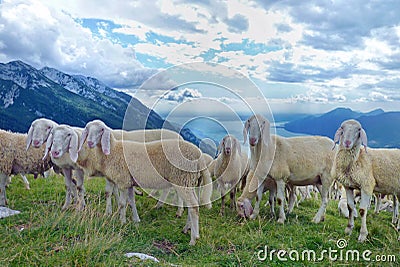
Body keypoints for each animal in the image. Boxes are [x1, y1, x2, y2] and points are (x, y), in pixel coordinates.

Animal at [76, 121, 211, 247]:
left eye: (101, 130)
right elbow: (129, 201)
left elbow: (122, 203)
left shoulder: (122, 180)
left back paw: (193, 239)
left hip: (182, 178)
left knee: (193, 206)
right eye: (88, 129)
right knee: (194, 204)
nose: (89, 143)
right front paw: (134, 220)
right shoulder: (126, 181)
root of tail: (199, 156)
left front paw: (122, 221)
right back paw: (187, 228)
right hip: (189, 181)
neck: (113, 151)